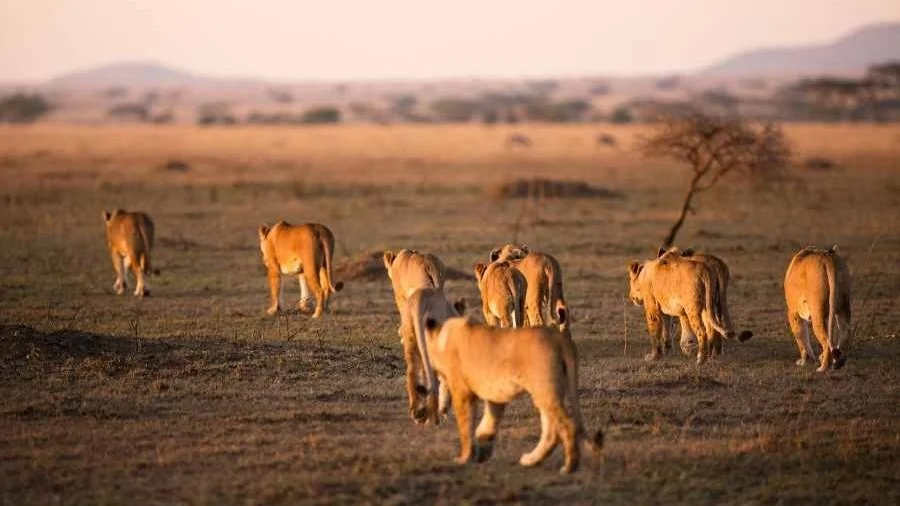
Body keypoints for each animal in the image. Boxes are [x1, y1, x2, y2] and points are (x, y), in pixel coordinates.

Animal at [416, 301, 603, 474]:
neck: (442, 336)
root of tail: (559, 337)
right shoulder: (495, 397)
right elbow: (488, 423)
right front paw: (483, 450)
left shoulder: (462, 391)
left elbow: (465, 425)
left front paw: (464, 457)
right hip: (548, 392)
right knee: (551, 431)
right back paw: (531, 460)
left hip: (545, 389)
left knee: (568, 425)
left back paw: (569, 467)